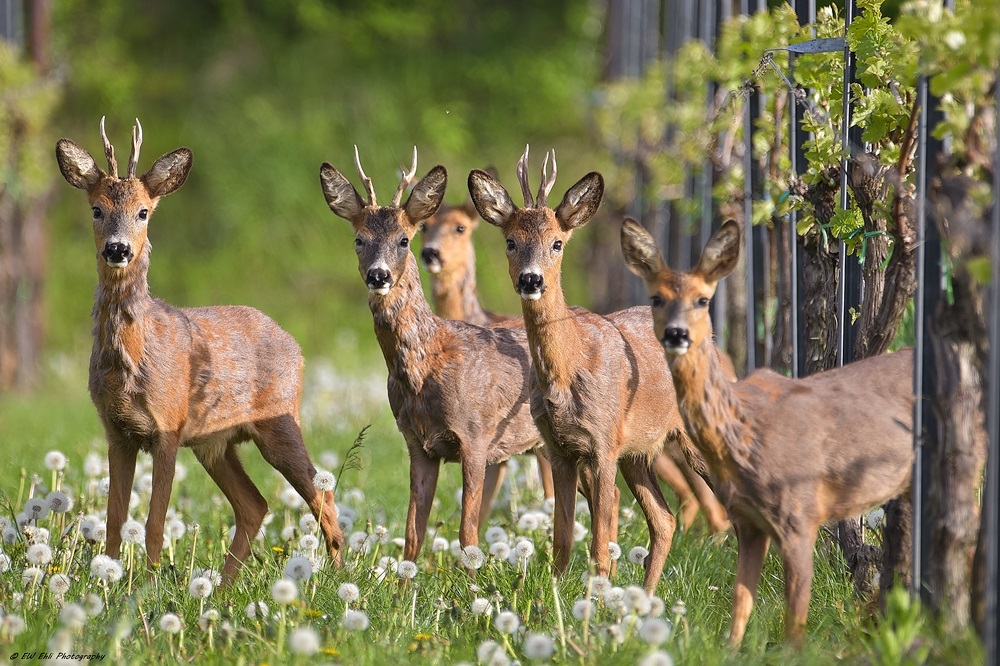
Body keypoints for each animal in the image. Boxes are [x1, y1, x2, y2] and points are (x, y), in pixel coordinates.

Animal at [54, 118, 344, 580]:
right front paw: (110, 575)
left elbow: (154, 522)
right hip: (216, 443)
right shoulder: (117, 432)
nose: (117, 248)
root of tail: (294, 343)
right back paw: (223, 587)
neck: (130, 364)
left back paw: (338, 576)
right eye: (96, 209)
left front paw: (147, 582)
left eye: (143, 212)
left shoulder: (168, 427)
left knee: (323, 494)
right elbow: (115, 519)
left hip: (280, 420)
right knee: (255, 504)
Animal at [320, 148, 552, 556]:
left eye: (403, 240)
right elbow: (413, 533)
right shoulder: (418, 444)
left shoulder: (476, 437)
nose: (378, 275)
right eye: (359, 240)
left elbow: (468, 532)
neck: (425, 365)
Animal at [470, 147, 704, 592]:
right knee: (663, 521)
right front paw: (560, 595)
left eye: (557, 242)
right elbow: (561, 540)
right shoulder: (560, 449)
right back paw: (647, 596)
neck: (569, 370)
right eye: (510, 241)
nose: (531, 279)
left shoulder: (602, 443)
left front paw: (595, 596)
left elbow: (599, 544)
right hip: (638, 454)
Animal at [620, 218, 916, 644]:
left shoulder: (800, 518)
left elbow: (795, 626)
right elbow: (740, 608)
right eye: (656, 298)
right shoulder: (750, 522)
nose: (677, 334)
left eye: (703, 300)